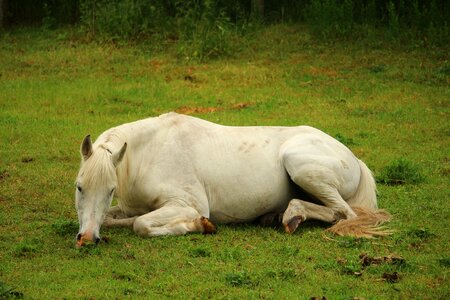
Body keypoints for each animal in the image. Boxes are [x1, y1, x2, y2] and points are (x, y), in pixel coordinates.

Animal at [74, 112, 390, 246]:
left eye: (110, 189)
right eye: (79, 187)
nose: (86, 238)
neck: (149, 152)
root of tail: (354, 159)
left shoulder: (189, 204)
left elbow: (140, 224)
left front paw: (200, 225)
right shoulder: (131, 207)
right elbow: (117, 219)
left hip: (301, 165)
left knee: (344, 214)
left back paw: (292, 216)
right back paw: (281, 216)